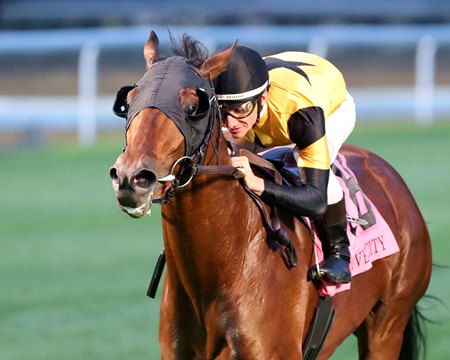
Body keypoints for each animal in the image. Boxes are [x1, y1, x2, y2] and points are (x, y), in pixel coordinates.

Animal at [110, 32, 432, 358]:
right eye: (129, 102)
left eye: (192, 108)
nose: (131, 178)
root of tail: (388, 175)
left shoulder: (308, 122)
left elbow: (317, 195)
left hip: (387, 324)